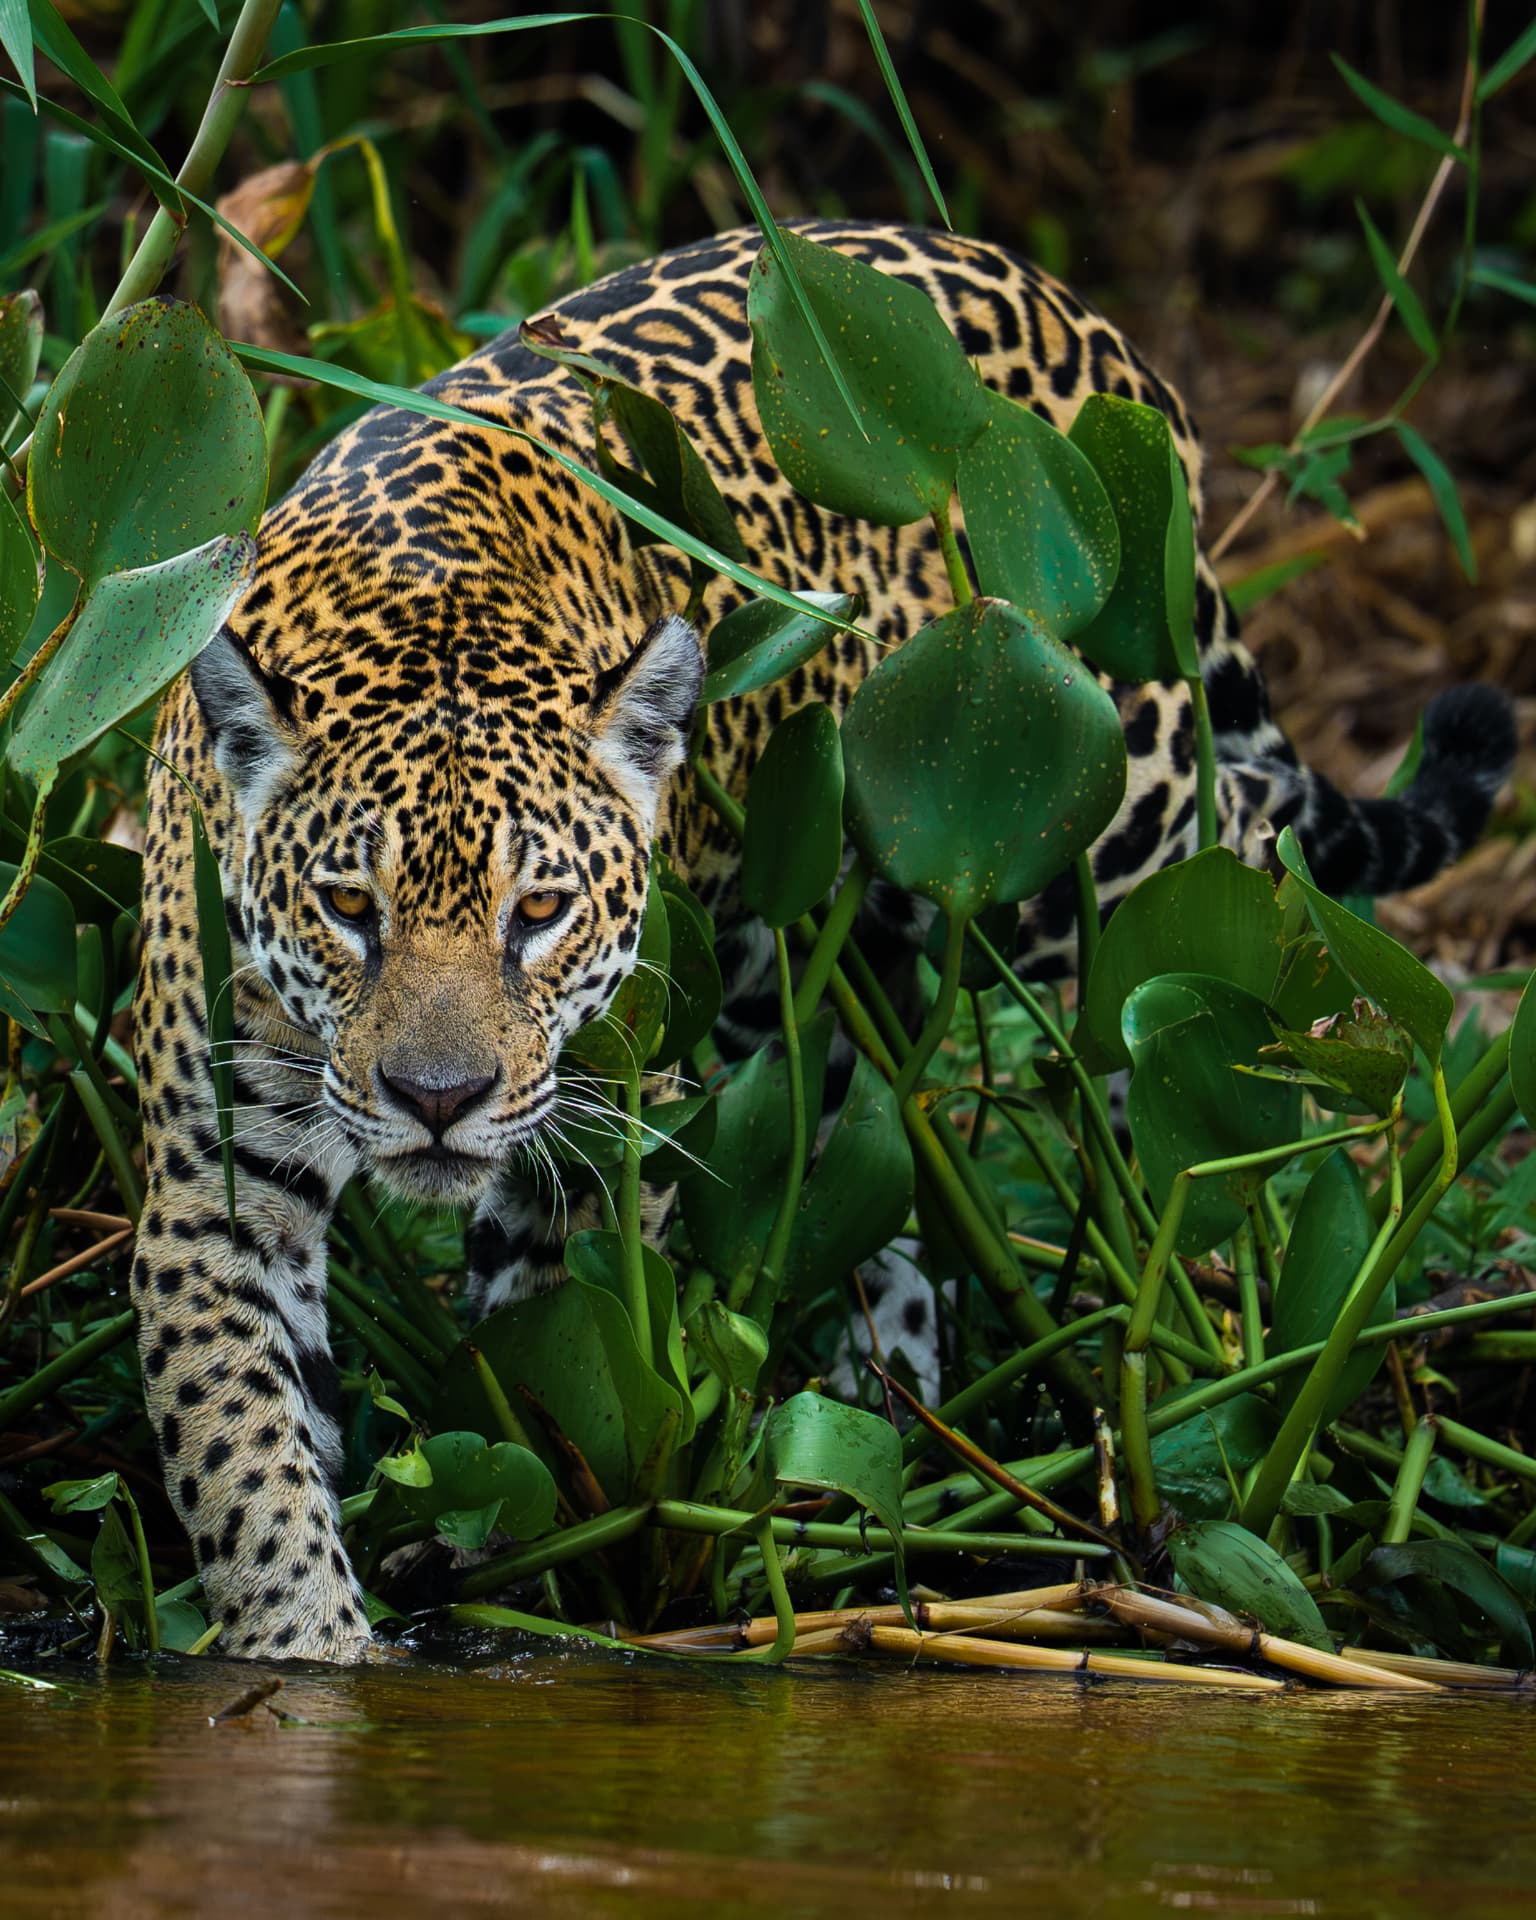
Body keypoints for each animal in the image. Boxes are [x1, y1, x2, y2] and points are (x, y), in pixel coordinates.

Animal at [130, 219, 1514, 1662]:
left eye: (539, 913)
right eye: (351, 907)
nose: (438, 1100)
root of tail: (1037, 286)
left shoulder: (606, 1128)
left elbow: (559, 1352)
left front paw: (530, 1543)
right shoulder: (222, 1180)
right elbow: (245, 1447)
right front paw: (310, 1656)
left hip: (1119, 803)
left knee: (1235, 907)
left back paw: (1230, 1251)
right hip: (807, 960)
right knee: (860, 1161)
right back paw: (877, 1426)